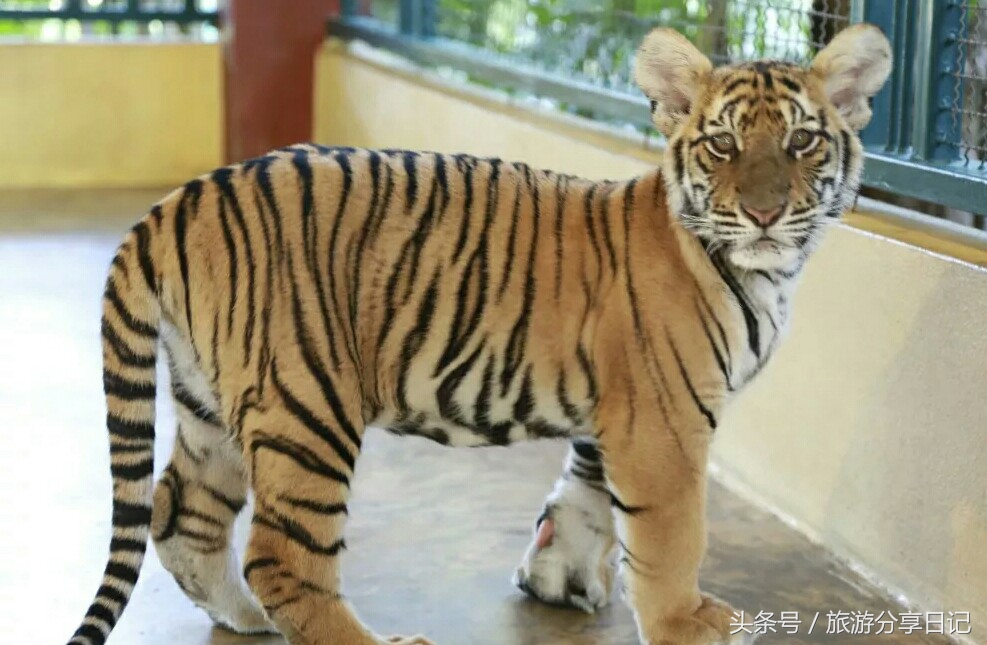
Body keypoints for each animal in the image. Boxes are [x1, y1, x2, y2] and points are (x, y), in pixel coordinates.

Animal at [67, 23, 890, 645]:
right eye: (723, 145)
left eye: (802, 142)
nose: (763, 213)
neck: (765, 271)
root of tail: (177, 202)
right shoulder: (663, 425)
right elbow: (670, 537)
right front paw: (685, 623)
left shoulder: (615, 411)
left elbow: (584, 491)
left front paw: (555, 575)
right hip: (305, 402)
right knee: (280, 555)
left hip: (212, 404)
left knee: (183, 515)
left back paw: (244, 618)